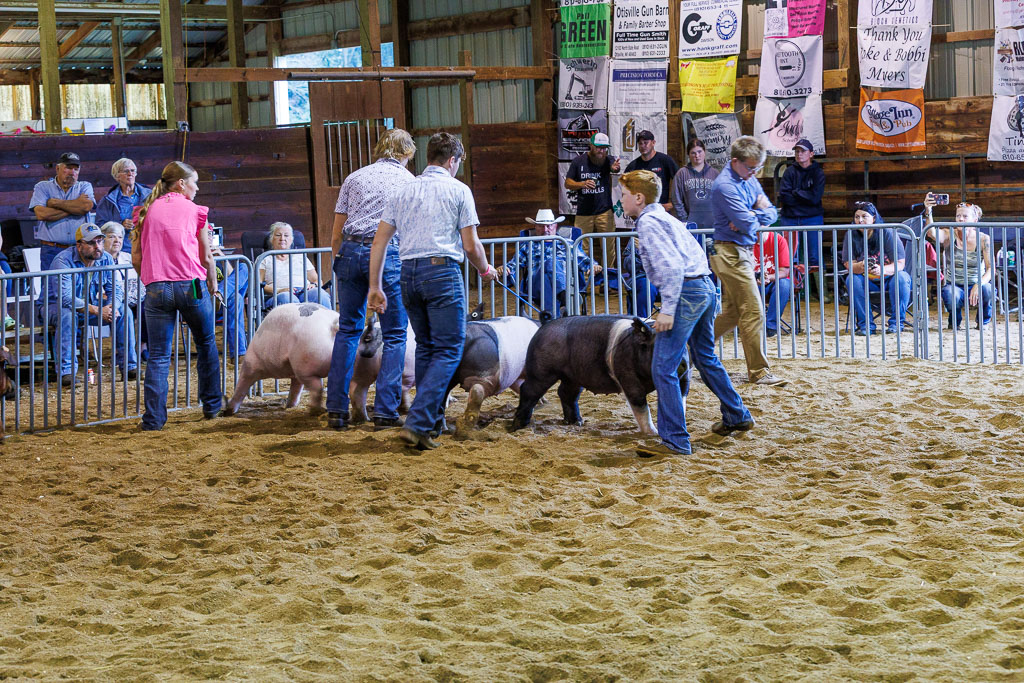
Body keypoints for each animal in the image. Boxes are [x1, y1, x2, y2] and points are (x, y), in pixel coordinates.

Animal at [511, 315, 671, 435]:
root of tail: (544, 326)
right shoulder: (628, 376)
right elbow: (639, 403)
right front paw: (654, 434)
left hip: (572, 378)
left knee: (565, 393)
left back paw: (577, 422)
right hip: (541, 372)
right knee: (529, 391)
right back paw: (517, 426)